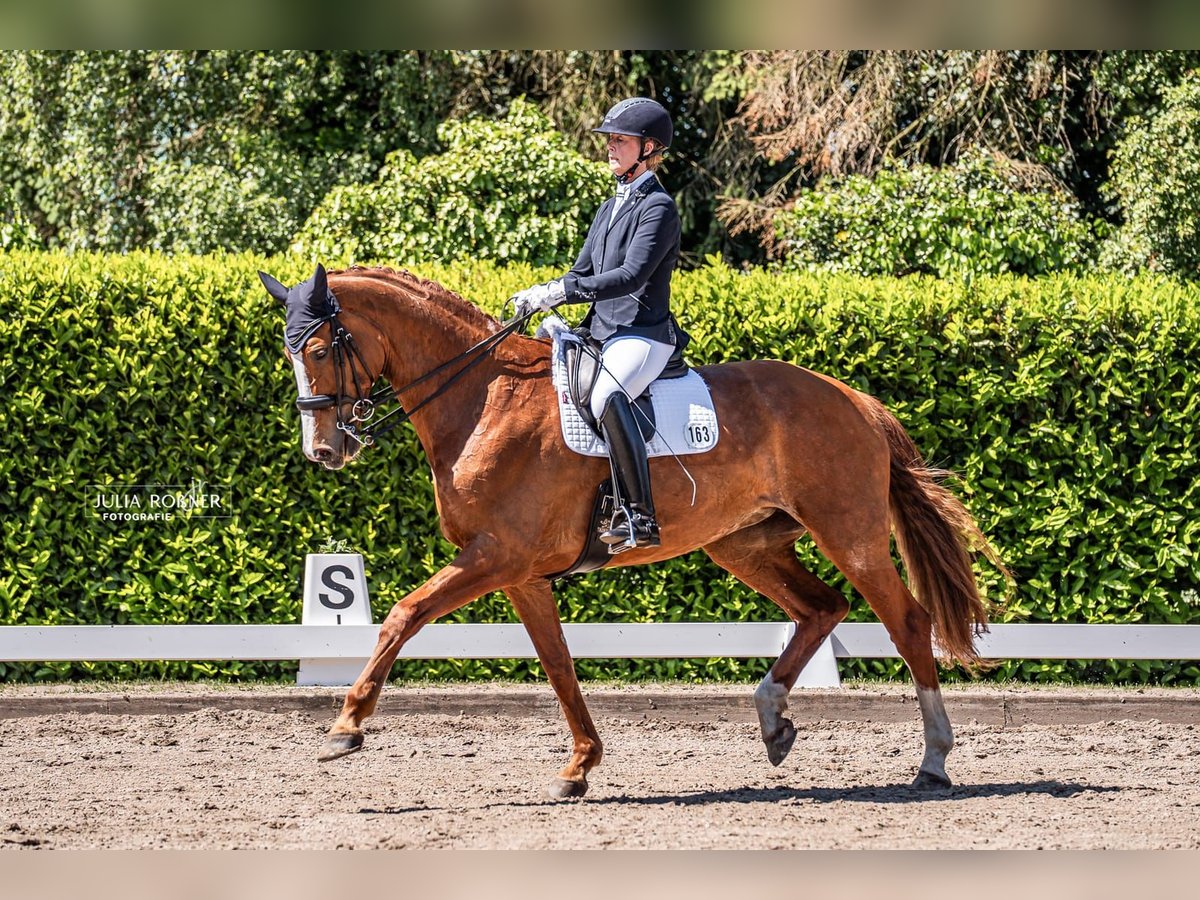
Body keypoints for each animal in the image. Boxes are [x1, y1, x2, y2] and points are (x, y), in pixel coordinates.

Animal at [265, 264, 1012, 801]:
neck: (484, 399)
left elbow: (403, 614)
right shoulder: (521, 573)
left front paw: (344, 729)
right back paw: (773, 721)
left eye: (321, 348)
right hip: (744, 543)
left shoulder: (496, 556)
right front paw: (579, 767)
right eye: (289, 356)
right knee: (822, 608)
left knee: (907, 622)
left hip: (847, 533)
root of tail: (851, 397)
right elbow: (559, 666)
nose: (324, 450)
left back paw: (934, 761)